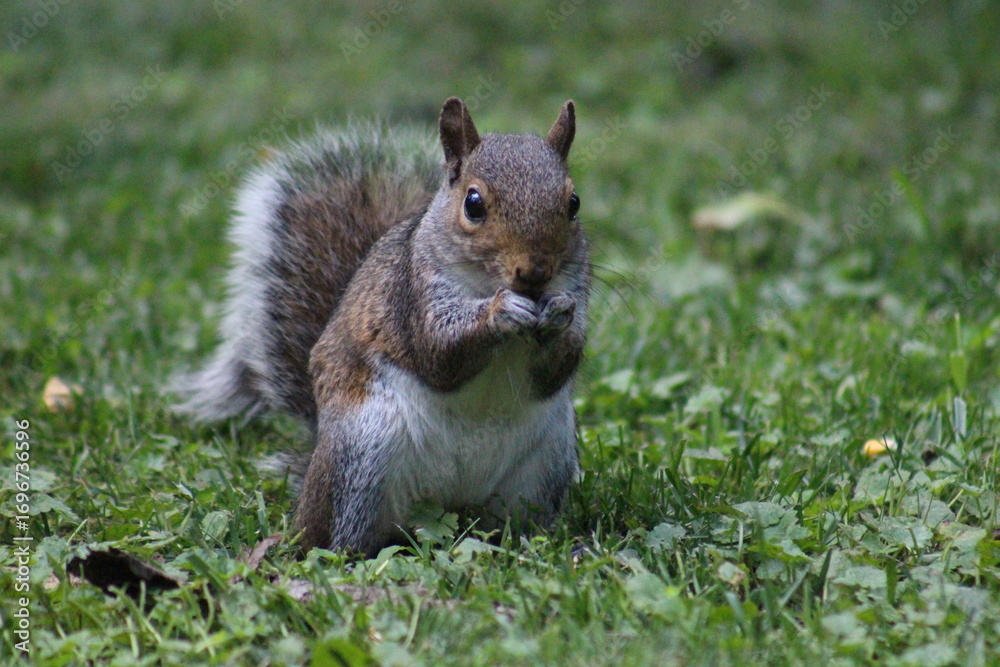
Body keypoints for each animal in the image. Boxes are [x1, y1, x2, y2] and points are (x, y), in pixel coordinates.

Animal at [173, 98, 591, 556]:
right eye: (474, 204)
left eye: (573, 203)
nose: (534, 273)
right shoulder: (410, 298)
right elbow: (439, 355)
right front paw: (499, 312)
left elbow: (556, 370)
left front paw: (559, 315)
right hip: (362, 454)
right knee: (343, 535)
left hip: (544, 466)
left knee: (513, 526)